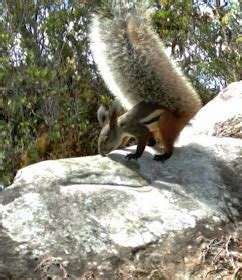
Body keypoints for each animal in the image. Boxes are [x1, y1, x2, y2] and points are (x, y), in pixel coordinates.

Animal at [89, 4, 202, 161]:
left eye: (106, 139)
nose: (101, 153)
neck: (120, 125)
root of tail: (181, 114)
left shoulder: (135, 128)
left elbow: (141, 138)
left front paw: (135, 155)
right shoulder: (127, 134)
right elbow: (125, 141)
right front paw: (124, 148)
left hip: (166, 124)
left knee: (168, 143)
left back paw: (164, 155)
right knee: (154, 139)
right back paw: (152, 143)